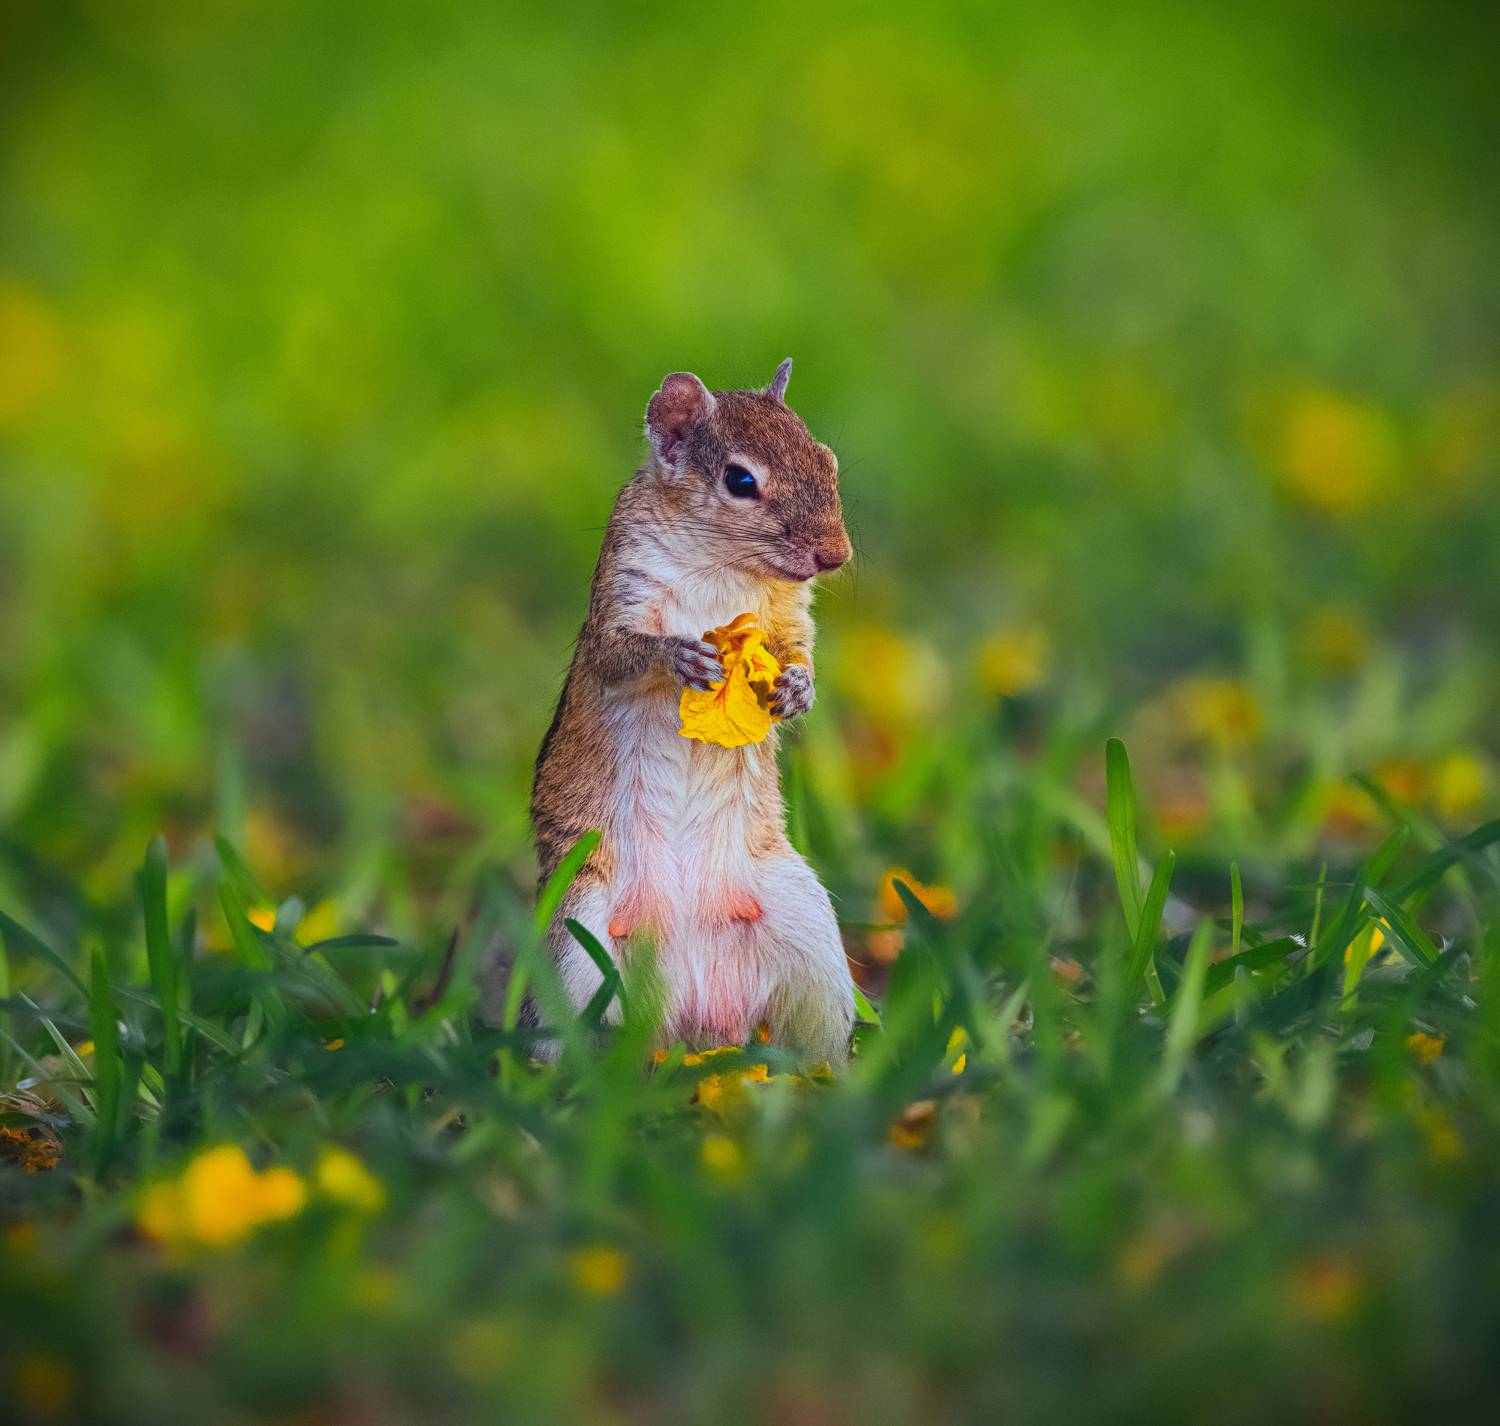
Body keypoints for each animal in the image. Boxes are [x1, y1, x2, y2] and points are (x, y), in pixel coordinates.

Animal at [529, 359, 856, 1064]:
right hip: (576, 942)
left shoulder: (787, 614)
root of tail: (696, 1020)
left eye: (827, 459)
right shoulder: (620, 592)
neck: (720, 564)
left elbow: (797, 647)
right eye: (740, 481)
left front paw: (798, 689)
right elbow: (618, 654)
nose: (836, 556)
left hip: (809, 934)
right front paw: (679, 657)